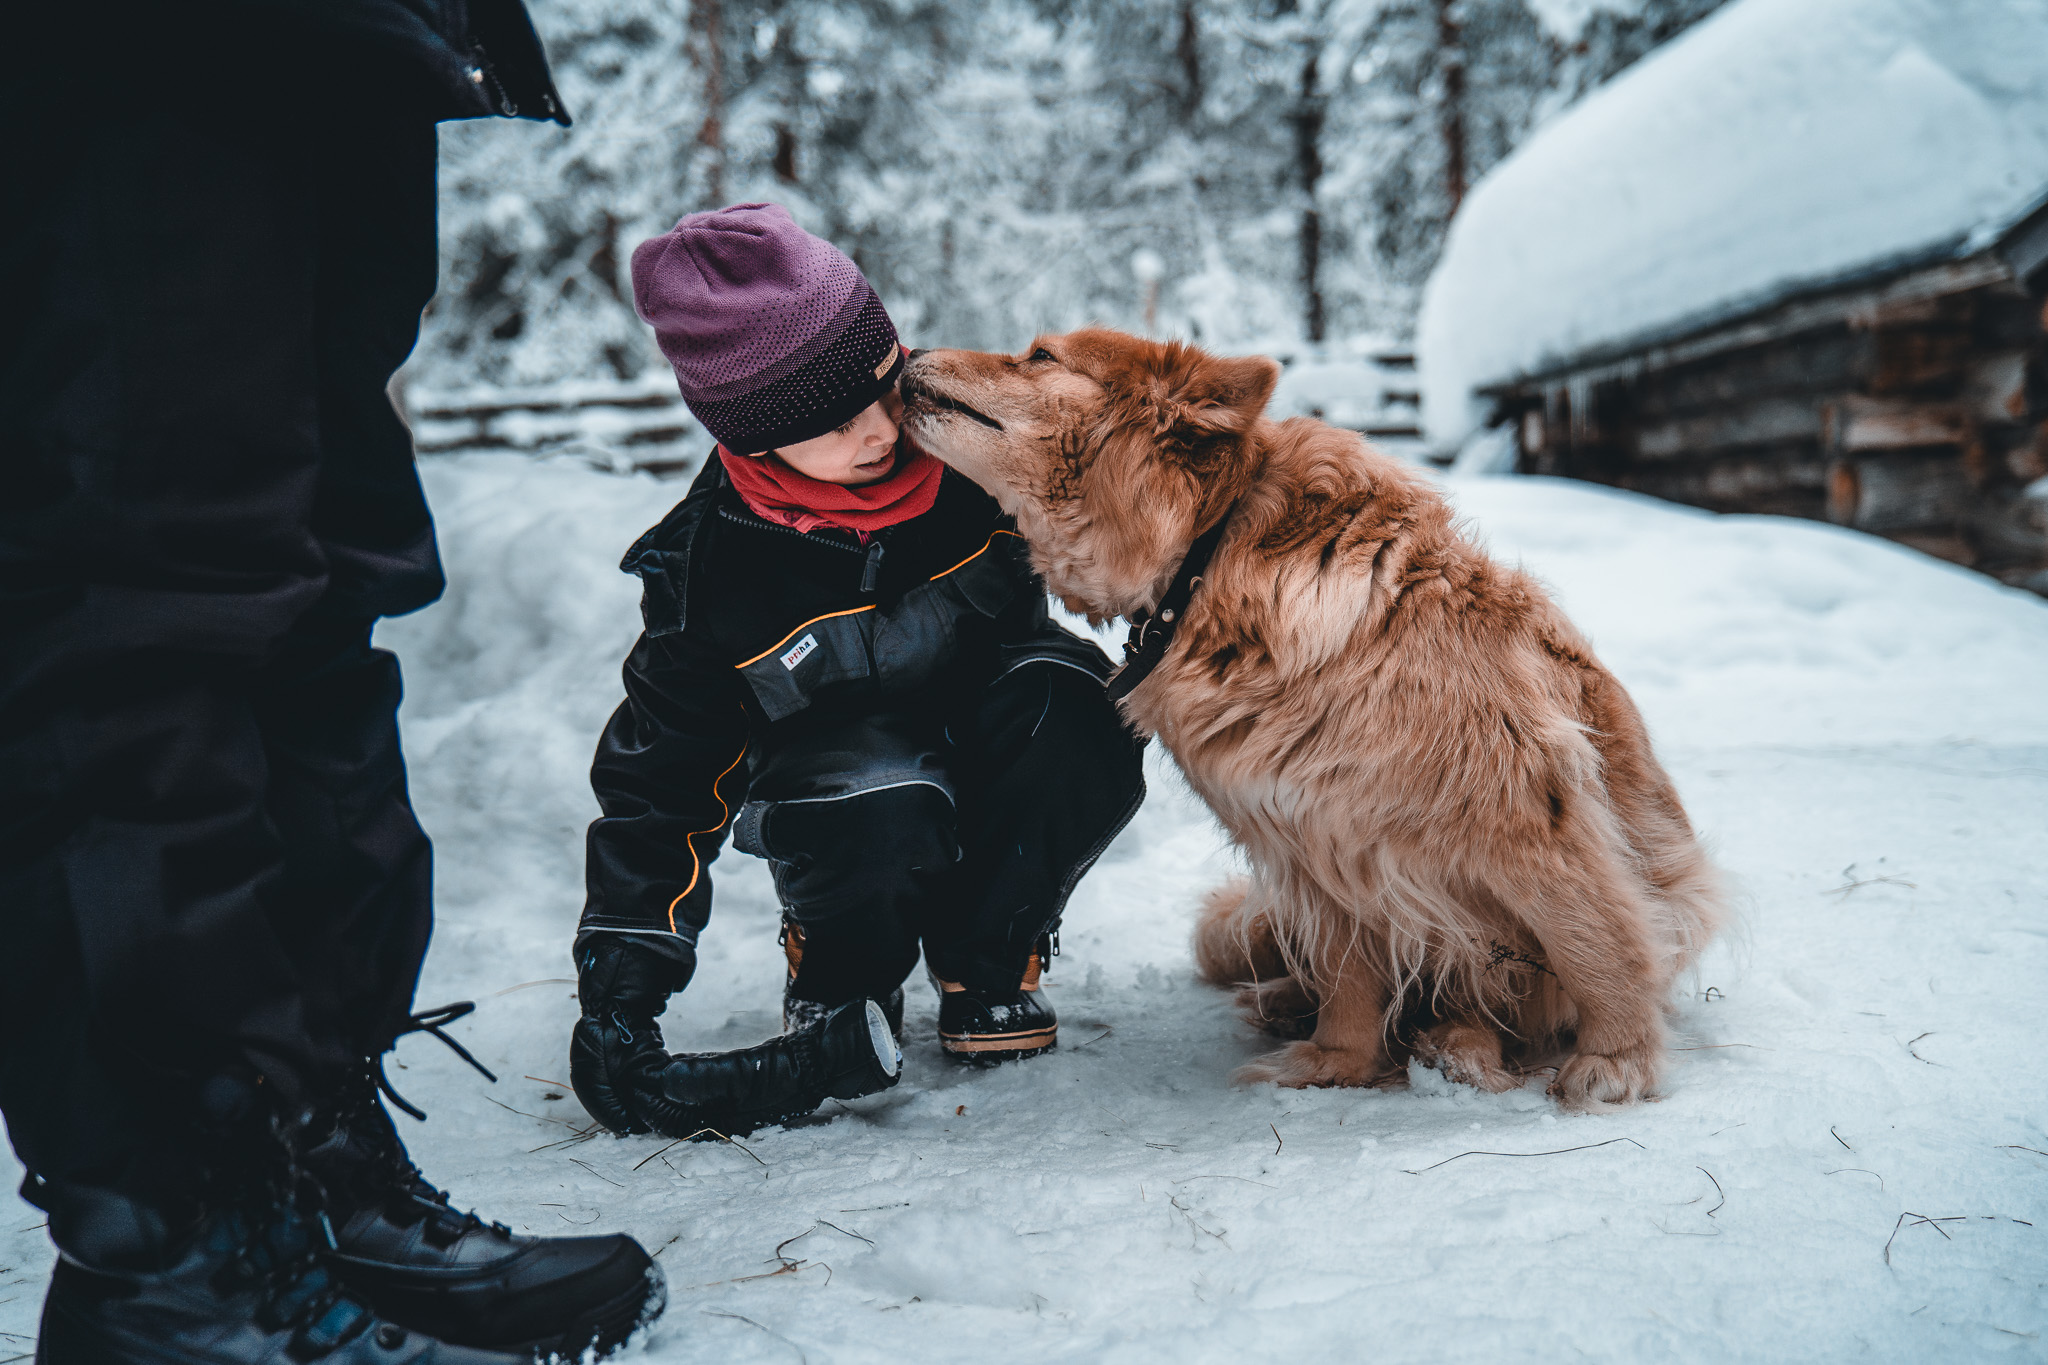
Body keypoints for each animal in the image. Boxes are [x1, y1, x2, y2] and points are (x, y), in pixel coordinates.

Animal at [905, 327, 1720, 1113]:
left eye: (1041, 354)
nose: (909, 356)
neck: (1206, 555)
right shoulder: (1313, 837)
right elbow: (1347, 973)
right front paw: (1335, 1061)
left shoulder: (1523, 808)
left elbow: (1594, 939)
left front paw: (1617, 1059)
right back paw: (1301, 1006)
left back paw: (1457, 1043)